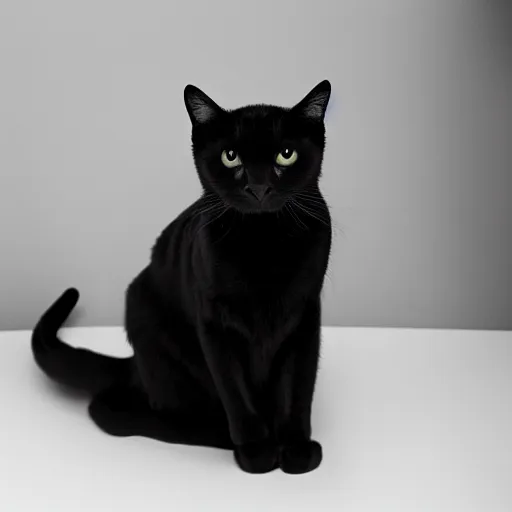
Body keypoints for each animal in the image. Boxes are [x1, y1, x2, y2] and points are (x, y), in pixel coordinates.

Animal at [34, 81, 334, 476]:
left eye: (286, 155)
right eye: (230, 156)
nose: (258, 187)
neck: (263, 245)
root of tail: (135, 367)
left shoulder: (304, 316)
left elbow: (297, 389)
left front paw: (296, 450)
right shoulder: (214, 323)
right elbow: (236, 392)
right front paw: (257, 451)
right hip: (148, 322)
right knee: (131, 412)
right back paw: (222, 436)